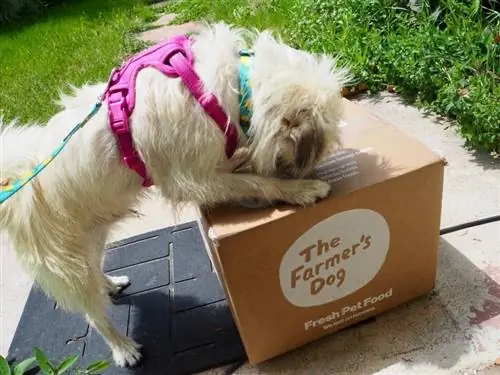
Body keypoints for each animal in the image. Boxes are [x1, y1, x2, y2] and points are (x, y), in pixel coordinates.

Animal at [0, 22, 352, 368]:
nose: (306, 172)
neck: (233, 90)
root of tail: (13, 185)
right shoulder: (192, 179)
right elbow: (254, 182)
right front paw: (299, 190)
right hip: (67, 262)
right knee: (92, 312)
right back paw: (123, 348)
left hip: (93, 235)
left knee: (95, 272)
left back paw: (109, 284)